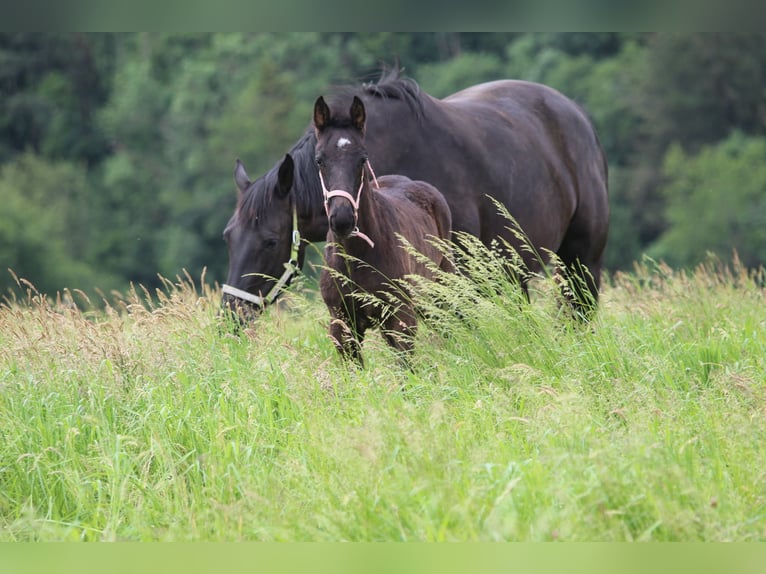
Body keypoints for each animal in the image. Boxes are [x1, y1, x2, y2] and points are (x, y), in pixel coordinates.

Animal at [314, 94, 453, 365]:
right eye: (319, 160)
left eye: (362, 159)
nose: (343, 219)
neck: (356, 258)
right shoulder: (342, 325)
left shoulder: (400, 319)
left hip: (441, 285)